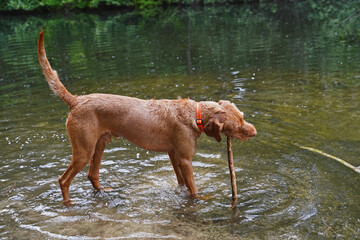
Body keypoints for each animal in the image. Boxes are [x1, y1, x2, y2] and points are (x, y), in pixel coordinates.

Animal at [36, 30, 256, 205]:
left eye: (243, 117)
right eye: (236, 126)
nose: (254, 132)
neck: (194, 114)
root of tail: (76, 100)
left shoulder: (172, 154)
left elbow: (181, 183)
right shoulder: (185, 159)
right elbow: (193, 188)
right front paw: (201, 200)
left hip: (99, 145)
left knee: (92, 175)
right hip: (83, 151)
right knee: (64, 180)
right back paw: (68, 203)